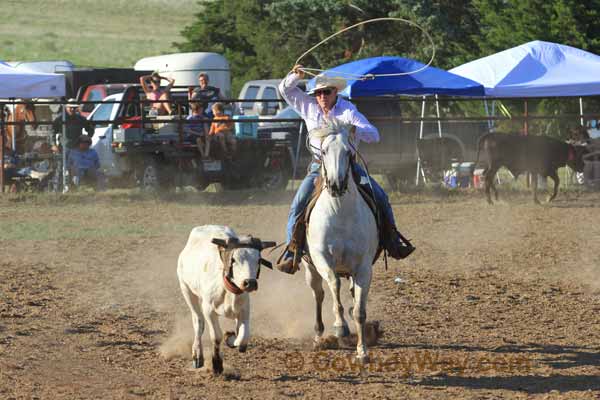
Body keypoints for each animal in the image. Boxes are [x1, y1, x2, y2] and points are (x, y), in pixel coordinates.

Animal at [176, 225, 274, 376]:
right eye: (233, 260)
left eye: (258, 260)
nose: (250, 283)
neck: (229, 292)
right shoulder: (209, 310)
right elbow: (216, 336)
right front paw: (217, 364)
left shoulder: (244, 311)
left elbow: (243, 338)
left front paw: (230, 338)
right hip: (186, 290)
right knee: (198, 322)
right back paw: (197, 354)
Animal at [302, 124, 378, 362]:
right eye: (324, 151)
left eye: (348, 152)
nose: (336, 184)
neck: (340, 212)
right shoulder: (322, 259)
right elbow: (334, 284)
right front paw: (339, 326)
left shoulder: (363, 267)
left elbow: (360, 311)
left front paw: (362, 351)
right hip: (310, 269)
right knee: (319, 294)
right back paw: (319, 336)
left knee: (352, 294)